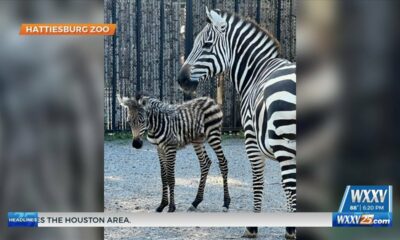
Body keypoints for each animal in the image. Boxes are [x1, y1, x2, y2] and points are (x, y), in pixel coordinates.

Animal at [178, 8, 296, 239]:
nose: (181, 80)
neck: (256, 71)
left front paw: (252, 228)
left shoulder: (251, 140)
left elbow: (258, 181)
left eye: (207, 45)